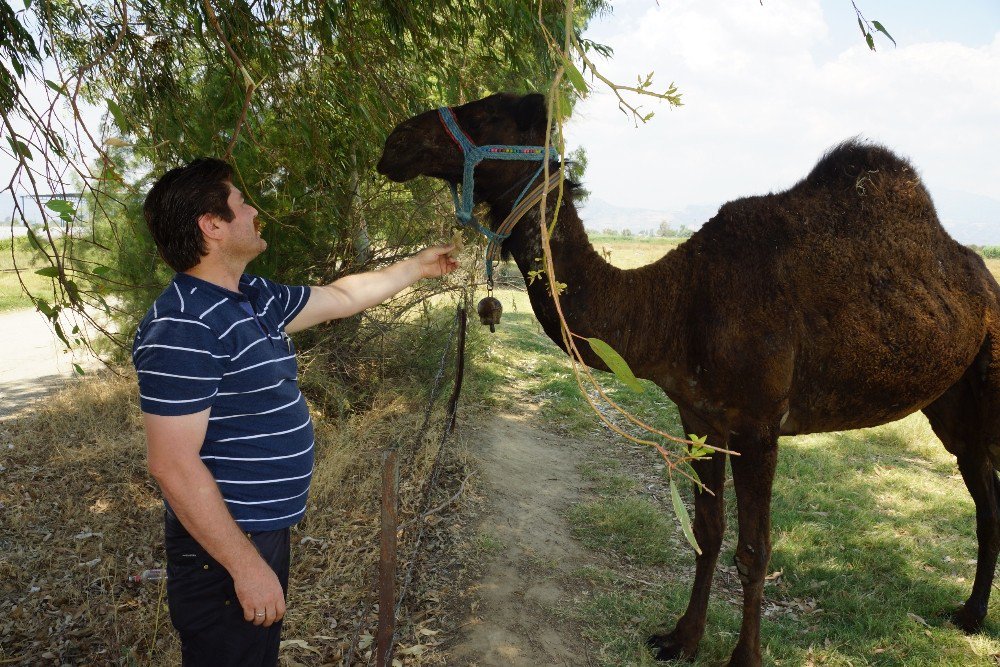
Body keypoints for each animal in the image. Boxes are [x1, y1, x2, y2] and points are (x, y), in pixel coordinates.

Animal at [376, 94, 1000, 667]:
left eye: (489, 112)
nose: (396, 141)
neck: (673, 304)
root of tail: (981, 276)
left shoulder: (758, 424)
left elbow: (754, 549)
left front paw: (744, 658)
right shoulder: (700, 416)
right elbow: (707, 532)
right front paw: (681, 638)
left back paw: (973, 614)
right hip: (948, 399)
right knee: (980, 480)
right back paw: (970, 614)